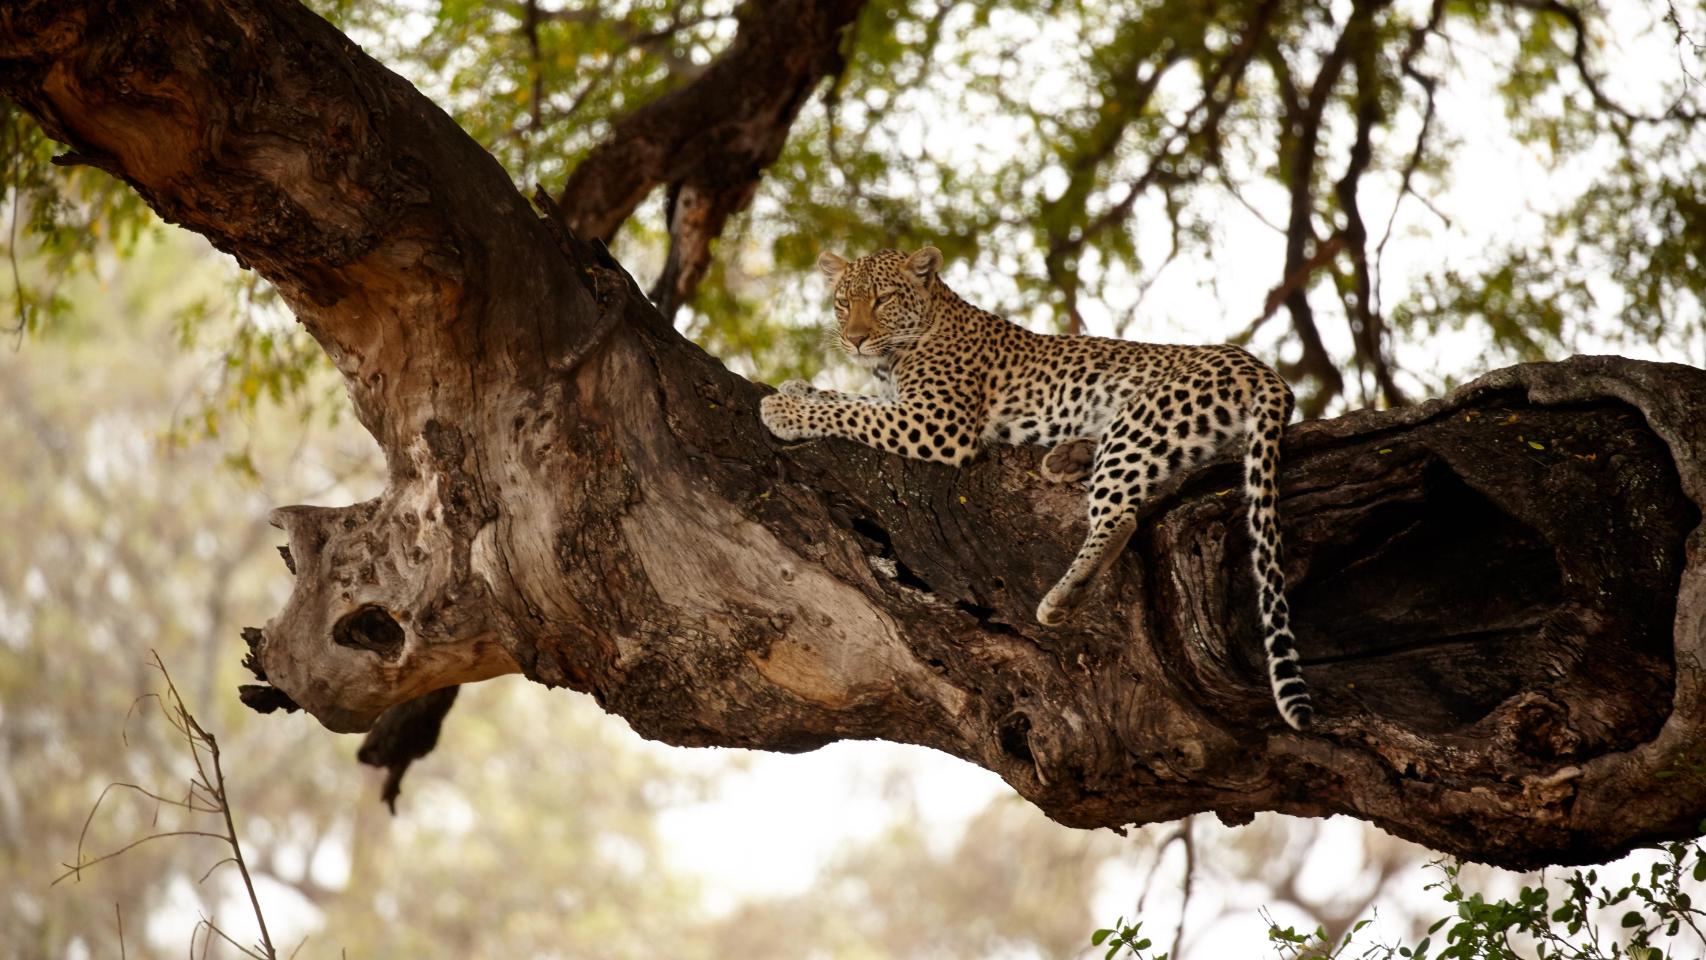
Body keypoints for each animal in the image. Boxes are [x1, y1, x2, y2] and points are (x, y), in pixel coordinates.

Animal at [759, 246, 1313, 730]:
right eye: (842, 302)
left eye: (883, 299)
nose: (853, 338)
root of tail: (1264, 370)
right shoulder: (903, 404)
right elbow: (852, 399)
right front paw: (799, 388)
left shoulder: (936, 421)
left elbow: (853, 411)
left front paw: (785, 409)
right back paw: (1066, 458)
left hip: (1144, 417)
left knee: (1121, 516)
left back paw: (1062, 595)